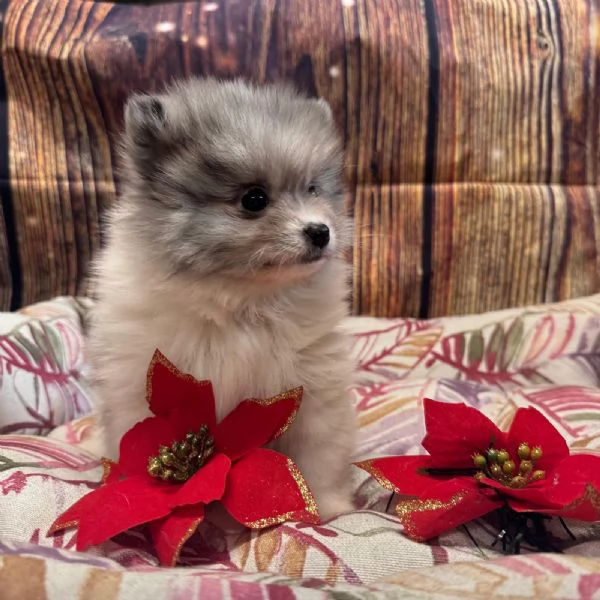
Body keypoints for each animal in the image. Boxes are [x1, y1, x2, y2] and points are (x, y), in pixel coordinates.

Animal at [84, 78, 356, 520]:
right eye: (254, 199)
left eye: (313, 188)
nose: (321, 231)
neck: (241, 302)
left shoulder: (315, 393)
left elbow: (319, 453)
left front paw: (326, 507)